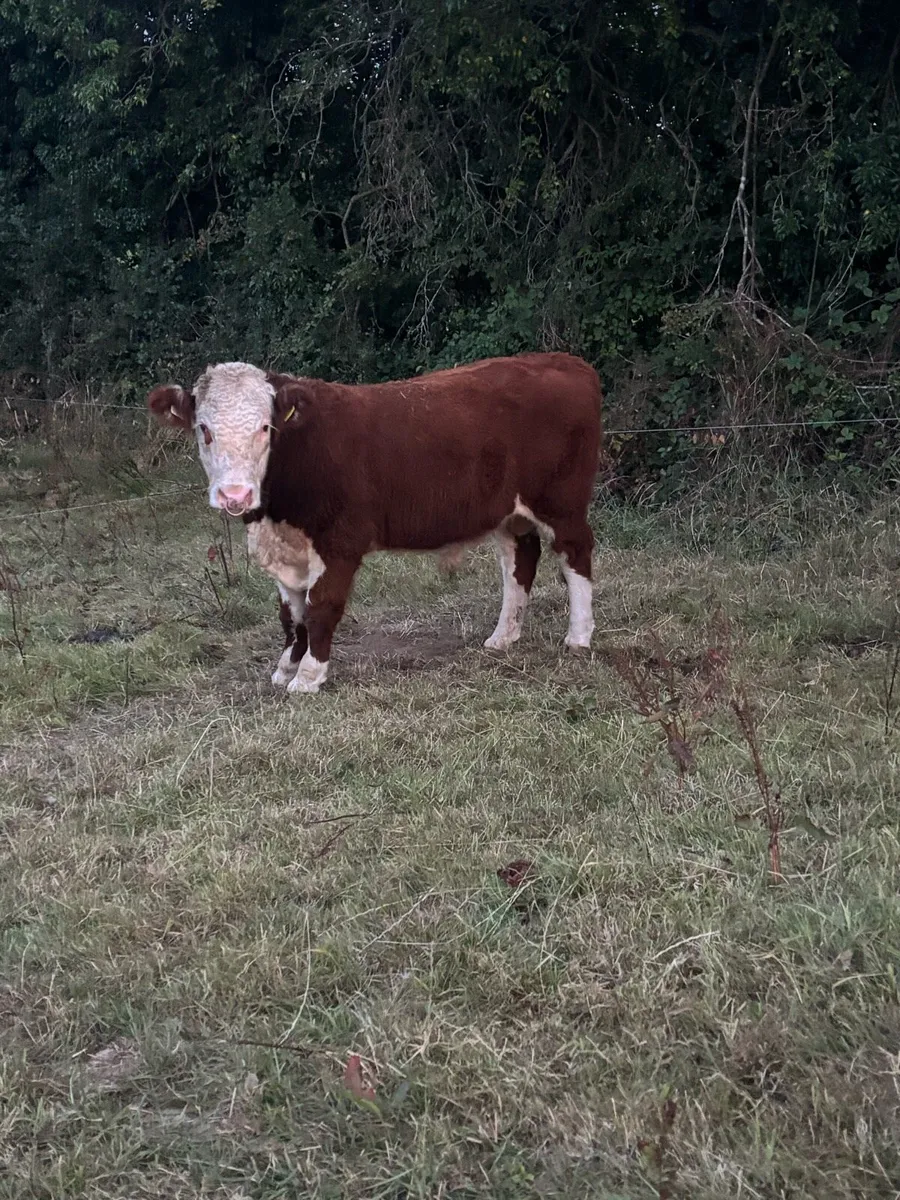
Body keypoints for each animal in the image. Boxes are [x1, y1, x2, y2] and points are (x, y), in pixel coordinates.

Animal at [148, 352, 602, 694]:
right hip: (510, 511)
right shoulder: (284, 547)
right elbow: (291, 614)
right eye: (204, 429)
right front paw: (286, 667)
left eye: (265, 427)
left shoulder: (339, 542)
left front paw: (309, 676)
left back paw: (579, 637)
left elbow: (320, 607)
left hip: (561, 502)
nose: (235, 495)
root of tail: (565, 361)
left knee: (575, 553)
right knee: (519, 561)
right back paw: (503, 636)